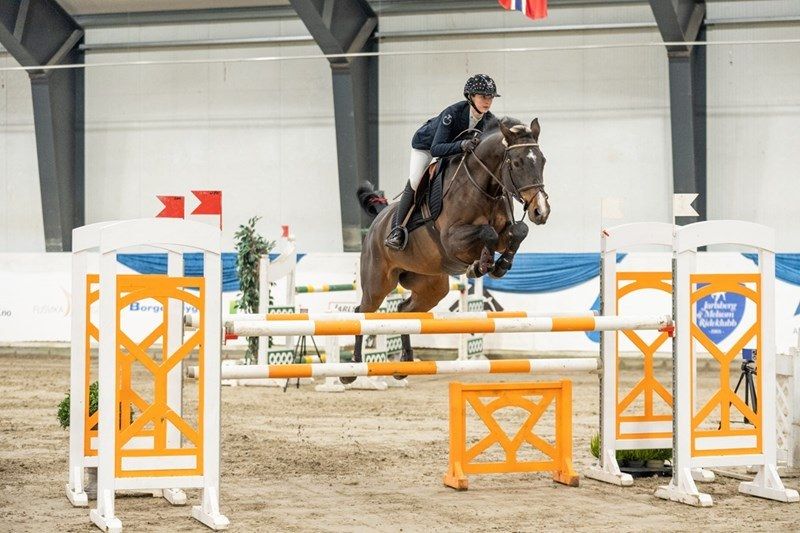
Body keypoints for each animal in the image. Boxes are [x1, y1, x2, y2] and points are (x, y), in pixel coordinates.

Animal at [344, 117, 550, 383]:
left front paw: (500, 265)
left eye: (542, 160)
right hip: (378, 282)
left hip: (431, 286)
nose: (540, 211)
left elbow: (518, 231)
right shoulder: (452, 239)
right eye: (516, 162)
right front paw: (480, 265)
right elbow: (488, 233)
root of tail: (379, 220)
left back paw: (404, 363)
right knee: (362, 312)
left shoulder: (505, 233)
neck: (484, 187)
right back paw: (351, 369)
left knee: (403, 310)